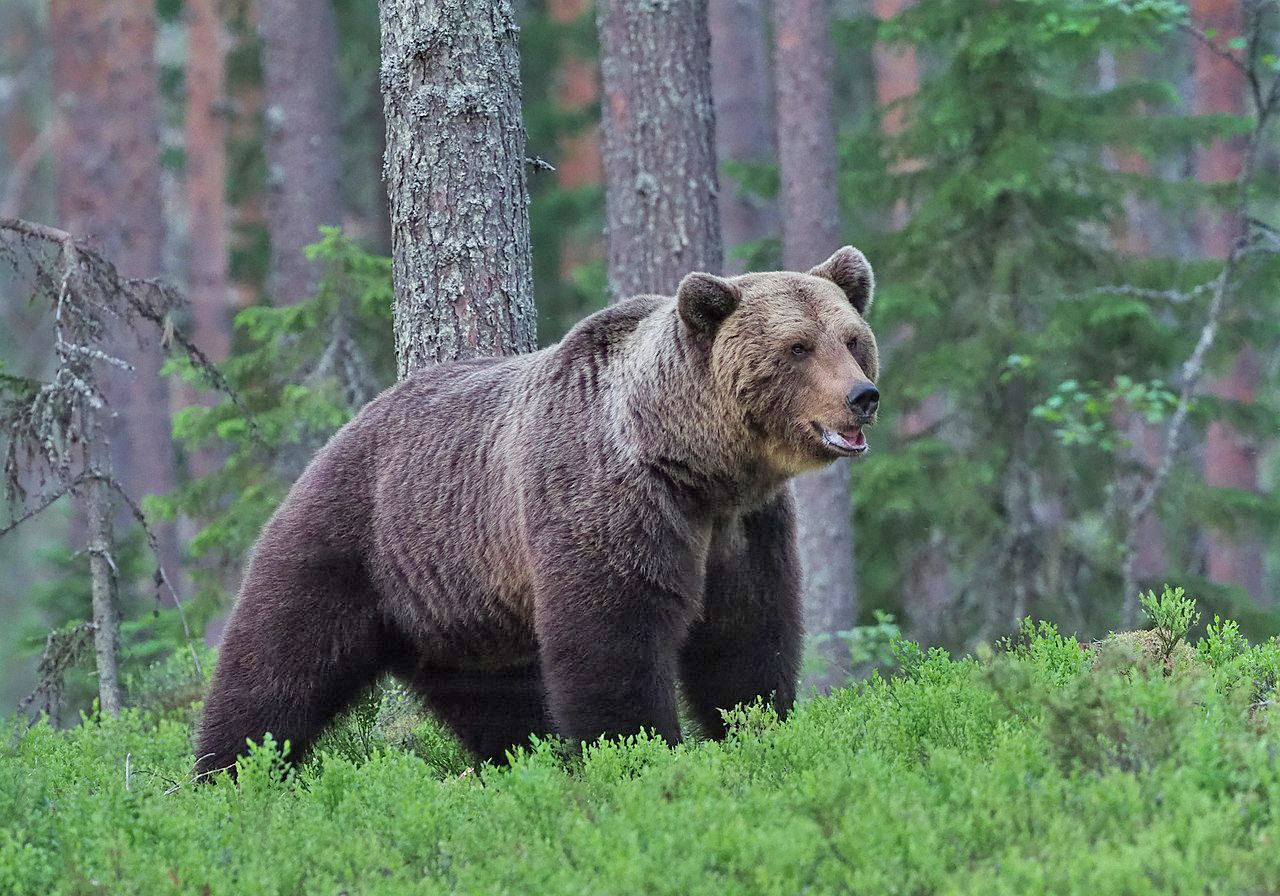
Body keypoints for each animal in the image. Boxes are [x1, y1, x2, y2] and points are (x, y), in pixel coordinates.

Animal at [194, 246, 880, 777]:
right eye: (796, 347)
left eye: (851, 340)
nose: (863, 396)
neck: (695, 466)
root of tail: (342, 430)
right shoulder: (611, 502)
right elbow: (613, 642)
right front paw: (640, 753)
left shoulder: (745, 529)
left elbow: (747, 637)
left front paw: (757, 728)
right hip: (353, 541)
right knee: (276, 667)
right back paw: (228, 774)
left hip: (457, 612)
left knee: (498, 703)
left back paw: (523, 761)